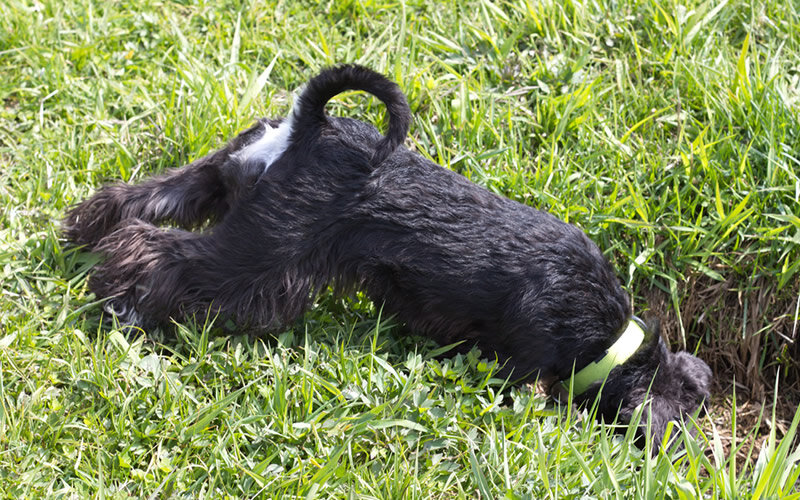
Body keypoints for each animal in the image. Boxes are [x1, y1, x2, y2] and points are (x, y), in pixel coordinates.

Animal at [64, 64, 712, 444]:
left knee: (144, 199)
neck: (611, 337)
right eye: (683, 415)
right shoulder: (522, 361)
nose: (681, 454)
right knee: (159, 253)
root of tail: (311, 126)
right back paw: (122, 304)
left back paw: (81, 238)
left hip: (227, 183)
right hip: (260, 255)